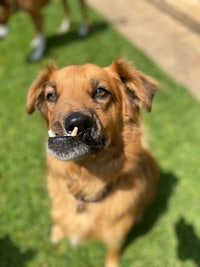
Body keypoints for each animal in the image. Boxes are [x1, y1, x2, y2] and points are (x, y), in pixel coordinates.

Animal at [26, 59, 159, 267]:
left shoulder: (116, 238)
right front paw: (58, 232)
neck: (86, 182)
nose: (75, 123)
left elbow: (113, 252)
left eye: (101, 92)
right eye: (51, 95)